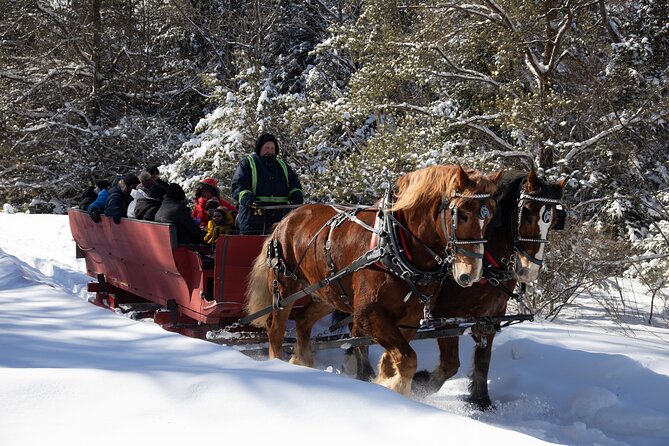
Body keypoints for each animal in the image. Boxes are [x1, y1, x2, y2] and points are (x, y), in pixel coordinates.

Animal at [244, 164, 500, 395]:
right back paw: (280, 367)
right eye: (462, 214)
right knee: (276, 329)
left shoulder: (409, 320)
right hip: (285, 288)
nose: (471, 273)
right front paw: (394, 390)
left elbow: (393, 361)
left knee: (303, 320)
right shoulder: (368, 314)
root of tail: (286, 219)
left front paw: (386, 384)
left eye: (489, 219)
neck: (397, 244)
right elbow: (408, 359)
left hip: (328, 293)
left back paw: (302, 364)